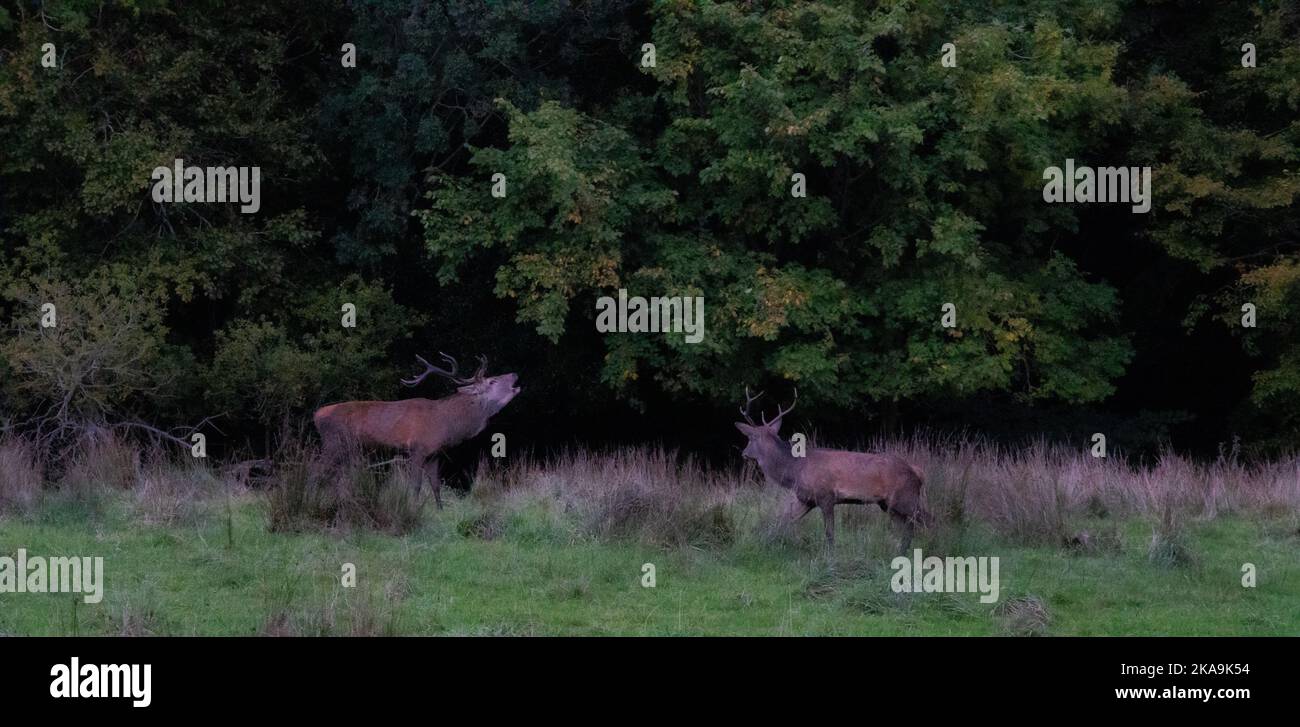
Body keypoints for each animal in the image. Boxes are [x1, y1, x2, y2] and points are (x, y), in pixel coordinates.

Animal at [312, 353, 520, 509]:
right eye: (492, 381)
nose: (515, 374)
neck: (444, 424)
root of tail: (317, 414)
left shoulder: (435, 454)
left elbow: (435, 485)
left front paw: (440, 510)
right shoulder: (416, 449)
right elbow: (416, 485)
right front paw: (413, 507)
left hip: (346, 450)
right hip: (333, 443)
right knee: (316, 471)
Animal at [734, 388, 932, 551]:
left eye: (750, 438)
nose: (744, 454)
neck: (794, 471)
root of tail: (918, 472)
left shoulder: (826, 496)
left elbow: (829, 533)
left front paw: (830, 557)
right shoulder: (806, 499)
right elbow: (783, 520)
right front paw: (768, 542)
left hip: (906, 496)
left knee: (928, 520)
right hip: (888, 504)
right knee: (908, 528)